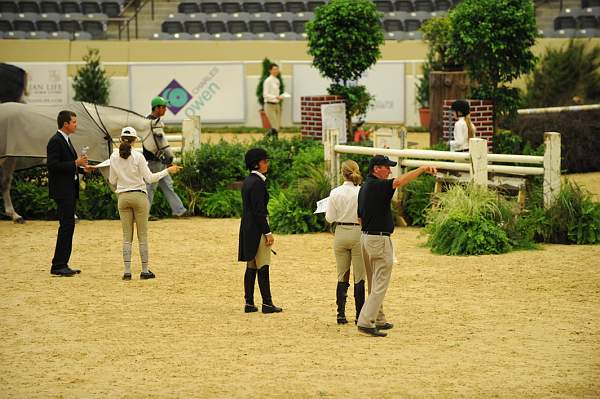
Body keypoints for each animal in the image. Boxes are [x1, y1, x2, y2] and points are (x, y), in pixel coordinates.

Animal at [0, 101, 173, 223]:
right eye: (159, 135)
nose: (170, 158)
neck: (99, 123)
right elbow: (112, 185)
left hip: (10, 159)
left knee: (5, 183)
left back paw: (15, 215)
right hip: (7, 158)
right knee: (5, 183)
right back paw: (14, 215)